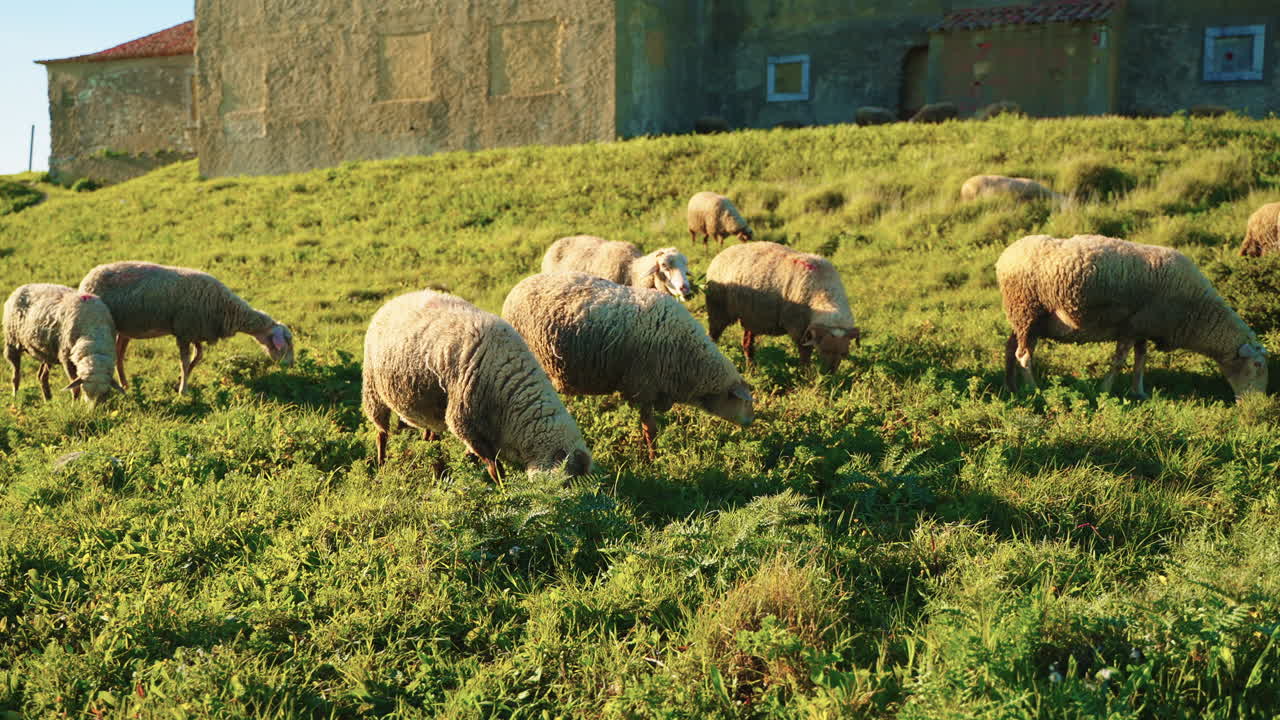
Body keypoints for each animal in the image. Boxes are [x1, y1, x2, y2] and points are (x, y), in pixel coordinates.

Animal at [78, 261, 294, 395]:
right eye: (286, 344)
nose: (291, 365)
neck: (226, 307)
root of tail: (88, 278)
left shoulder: (195, 331)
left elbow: (198, 357)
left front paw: (182, 379)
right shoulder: (183, 331)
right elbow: (185, 360)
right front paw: (183, 389)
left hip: (126, 328)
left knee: (119, 353)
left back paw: (125, 383)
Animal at [362, 289, 591, 480]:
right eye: (568, 482)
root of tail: (397, 299)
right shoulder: (464, 423)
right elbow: (494, 467)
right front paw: (503, 491)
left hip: (428, 405)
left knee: (430, 436)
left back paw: (438, 471)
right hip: (373, 389)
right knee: (381, 433)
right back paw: (382, 465)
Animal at [501, 272, 753, 461]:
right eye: (742, 401)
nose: (752, 421)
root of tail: (516, 288)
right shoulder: (643, 387)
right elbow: (650, 429)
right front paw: (654, 459)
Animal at [705, 242, 860, 373]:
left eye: (844, 354)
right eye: (824, 350)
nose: (829, 374)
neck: (824, 293)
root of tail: (721, 253)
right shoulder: (798, 328)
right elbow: (805, 355)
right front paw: (806, 376)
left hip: (751, 316)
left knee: (747, 344)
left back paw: (752, 369)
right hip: (718, 310)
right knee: (712, 337)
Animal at [996, 234, 1268, 400]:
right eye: (1257, 366)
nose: (1257, 403)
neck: (1194, 310)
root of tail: (1005, 256)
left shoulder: (1142, 328)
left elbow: (1140, 360)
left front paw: (1139, 392)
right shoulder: (1130, 326)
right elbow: (1120, 361)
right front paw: (1105, 389)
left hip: (1026, 319)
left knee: (1011, 348)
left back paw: (1011, 387)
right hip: (1026, 311)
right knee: (1023, 355)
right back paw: (1034, 390)